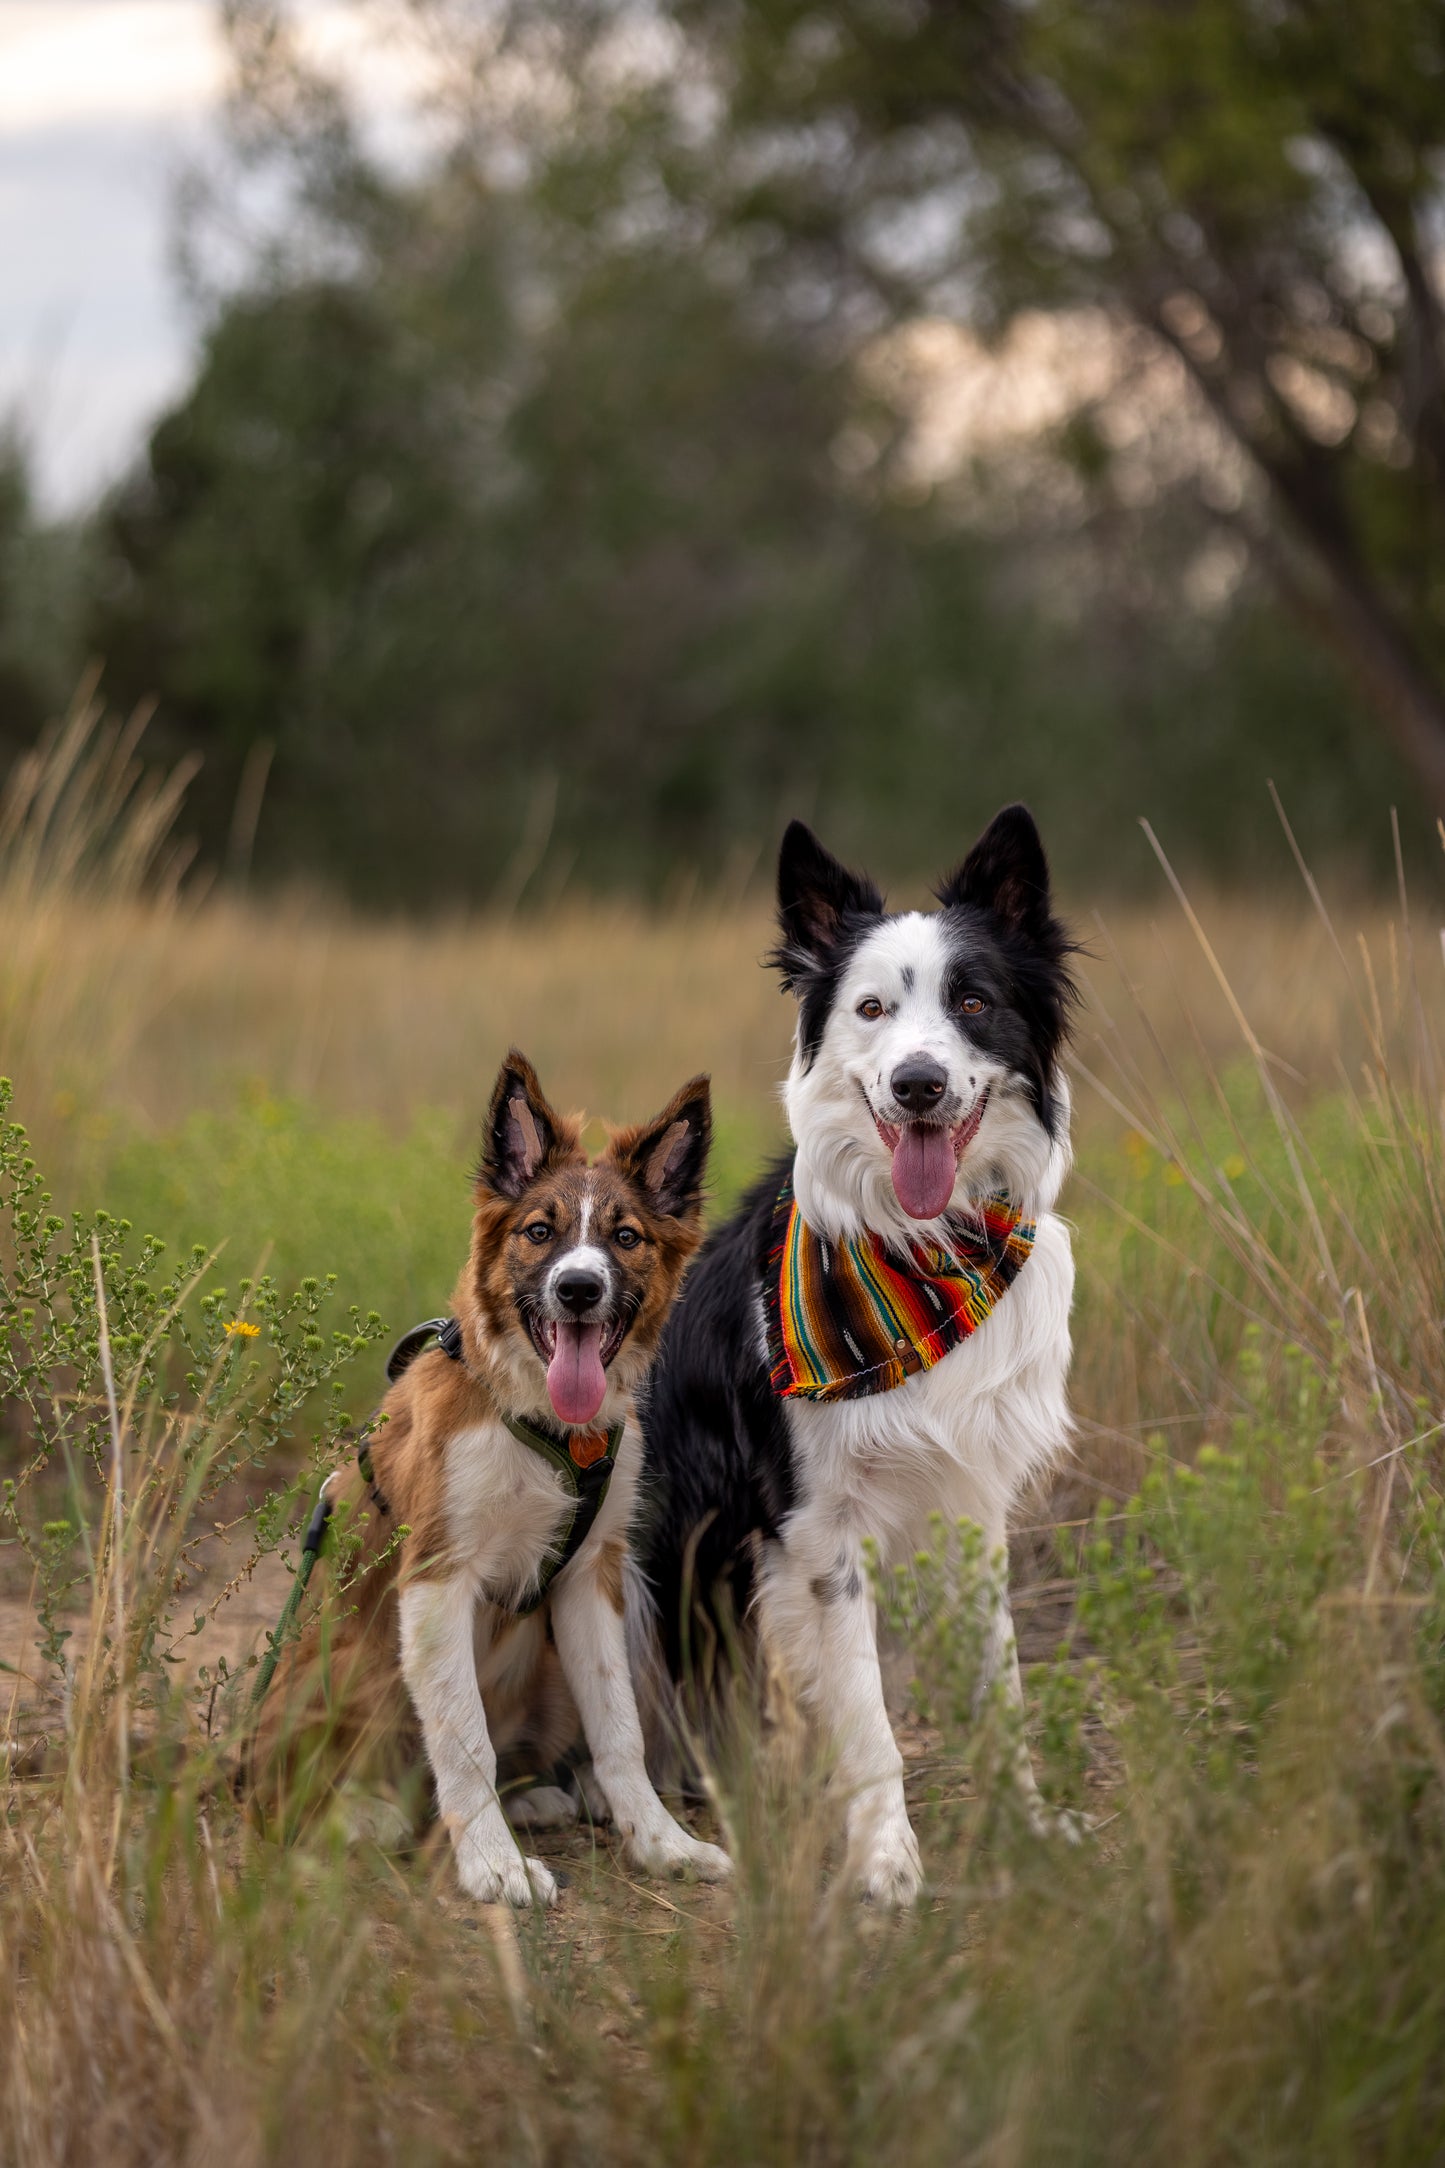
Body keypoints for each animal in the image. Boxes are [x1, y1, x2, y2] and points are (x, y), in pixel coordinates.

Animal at [245, 1057, 736, 1907]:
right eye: (539, 1232)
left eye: (625, 1238)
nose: (578, 1290)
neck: (544, 1424)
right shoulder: (436, 1579)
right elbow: (462, 1739)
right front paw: (492, 1866)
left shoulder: (591, 1578)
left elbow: (619, 1728)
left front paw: (659, 1842)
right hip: (350, 1663)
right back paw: (367, 1813)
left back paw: (541, 1797)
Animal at [641, 810, 1074, 1899]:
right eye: (871, 1008)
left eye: (973, 1001)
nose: (917, 1083)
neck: (924, 1253)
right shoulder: (817, 1531)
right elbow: (868, 1720)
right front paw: (886, 1862)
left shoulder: (972, 1500)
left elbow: (1001, 1684)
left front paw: (1026, 1825)